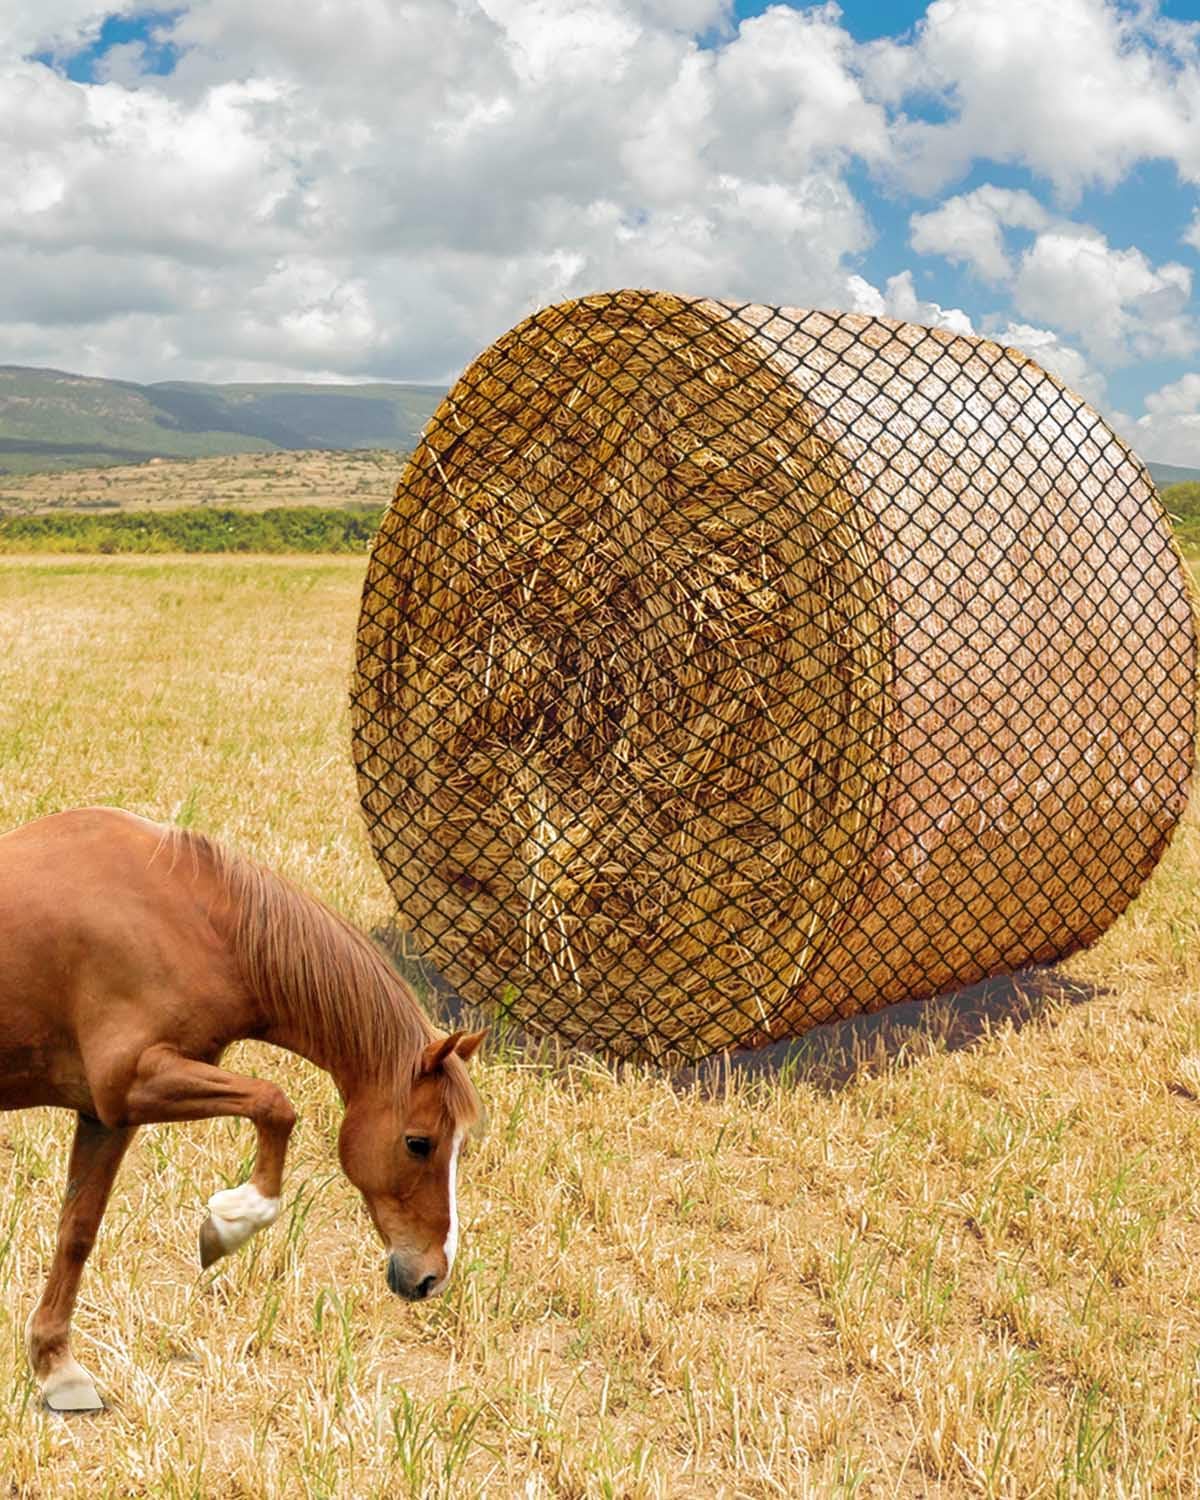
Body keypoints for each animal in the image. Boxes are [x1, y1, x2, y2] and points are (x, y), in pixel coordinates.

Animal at [0, 806, 485, 1412]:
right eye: (419, 1143)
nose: (432, 1277)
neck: (190, 916)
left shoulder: (107, 1115)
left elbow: (78, 1232)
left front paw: (56, 1366)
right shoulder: (133, 1081)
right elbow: (276, 1105)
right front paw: (231, 1222)